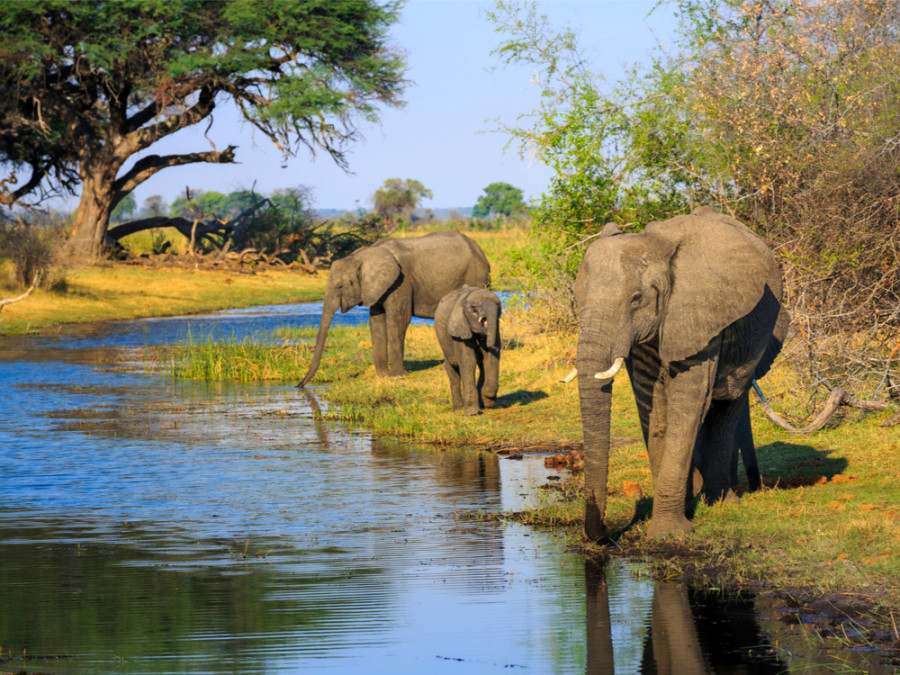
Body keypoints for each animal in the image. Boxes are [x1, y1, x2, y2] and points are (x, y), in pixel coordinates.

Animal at [298, 231, 488, 386]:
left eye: (339, 286)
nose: (299, 385)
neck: (361, 256)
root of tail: (479, 249)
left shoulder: (401, 282)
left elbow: (398, 320)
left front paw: (397, 376)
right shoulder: (377, 287)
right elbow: (376, 321)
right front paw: (382, 375)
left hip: (475, 276)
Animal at [434, 284, 502, 414]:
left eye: (499, 306)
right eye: (474, 308)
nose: (495, 347)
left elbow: (490, 359)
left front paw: (487, 401)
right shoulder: (459, 330)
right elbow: (468, 361)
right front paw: (472, 413)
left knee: (482, 365)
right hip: (444, 343)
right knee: (453, 371)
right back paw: (458, 409)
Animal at [576, 209, 788, 540]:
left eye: (636, 299)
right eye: (577, 299)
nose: (607, 534)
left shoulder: (701, 309)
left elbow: (688, 402)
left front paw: (667, 534)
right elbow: (653, 407)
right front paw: (680, 509)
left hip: (757, 336)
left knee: (727, 404)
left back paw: (722, 501)